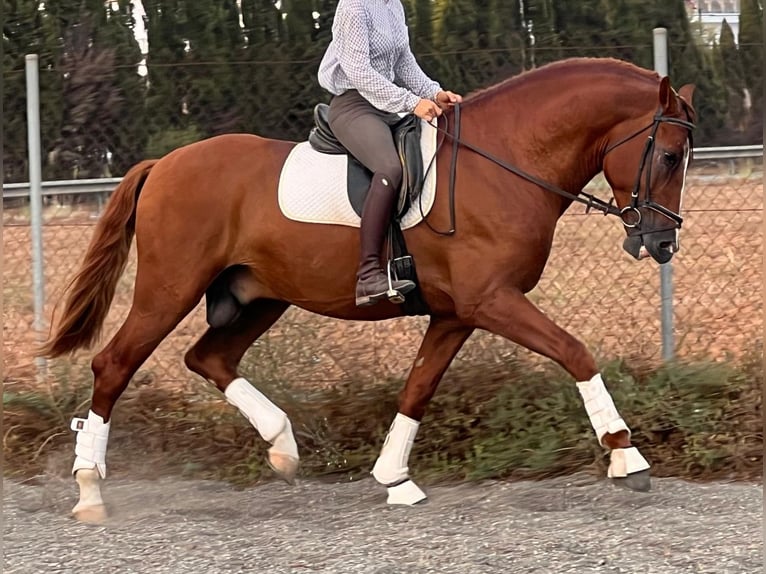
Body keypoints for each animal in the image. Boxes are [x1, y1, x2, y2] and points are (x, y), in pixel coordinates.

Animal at [40, 57, 696, 520]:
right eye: (667, 156)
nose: (662, 244)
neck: (505, 161)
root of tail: (165, 164)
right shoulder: (492, 301)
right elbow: (575, 352)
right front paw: (626, 455)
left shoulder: (458, 314)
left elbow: (418, 389)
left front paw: (394, 479)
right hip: (169, 289)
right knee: (114, 365)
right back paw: (90, 491)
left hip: (261, 295)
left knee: (209, 357)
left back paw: (282, 446)